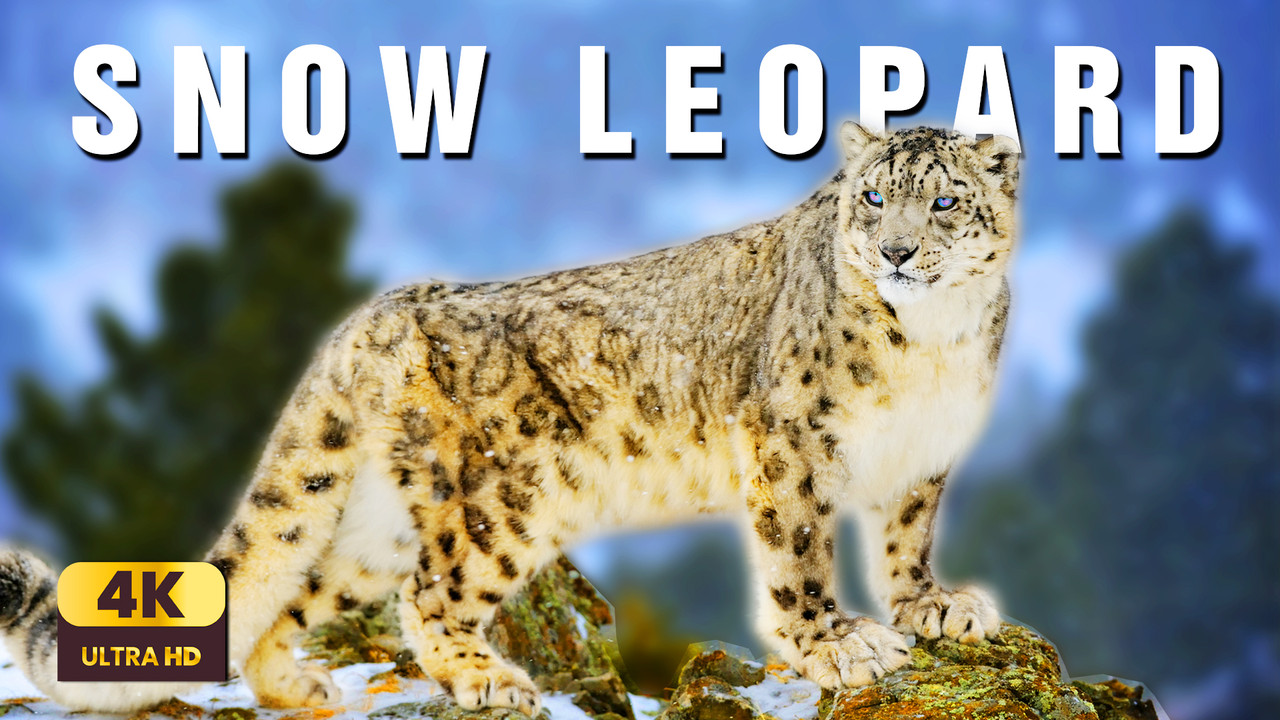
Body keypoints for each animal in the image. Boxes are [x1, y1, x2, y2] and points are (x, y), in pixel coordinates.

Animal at [0, 122, 1018, 716]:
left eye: (944, 199)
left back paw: (295, 684)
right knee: (430, 594)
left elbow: (906, 539)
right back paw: (486, 676)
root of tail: (374, 316)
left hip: (373, 522)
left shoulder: (924, 459)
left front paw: (934, 607)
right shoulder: (791, 449)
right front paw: (841, 645)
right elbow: (800, 555)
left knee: (300, 586)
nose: (896, 251)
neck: (935, 342)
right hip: (506, 502)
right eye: (873, 197)